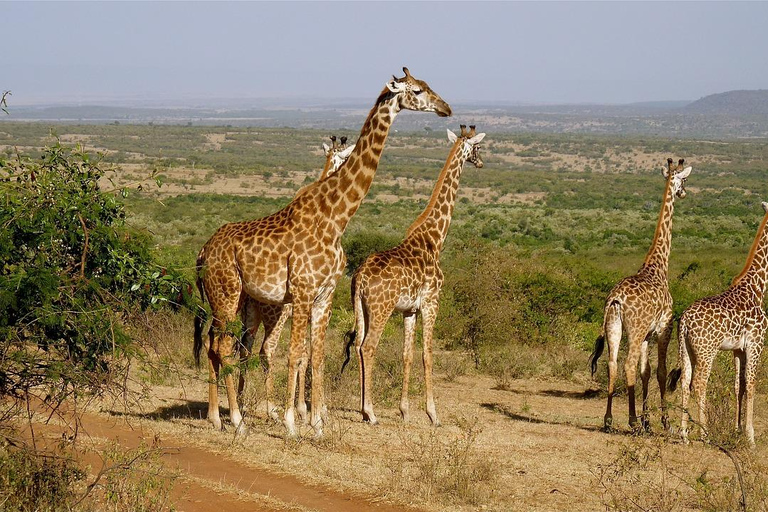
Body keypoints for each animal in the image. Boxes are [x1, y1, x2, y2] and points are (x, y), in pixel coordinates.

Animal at [237, 134, 356, 422]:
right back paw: (271, 409)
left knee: (244, 348)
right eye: (345, 157)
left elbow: (304, 352)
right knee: (266, 350)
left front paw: (307, 408)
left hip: (250, 311)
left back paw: (242, 403)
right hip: (276, 312)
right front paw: (309, 409)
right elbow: (305, 353)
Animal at [340, 123, 484, 424]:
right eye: (478, 147)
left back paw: (364, 411)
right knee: (368, 347)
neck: (435, 238)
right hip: (381, 308)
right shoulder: (431, 301)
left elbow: (407, 354)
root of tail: (359, 279)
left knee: (357, 344)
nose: (481, 162)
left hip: (361, 307)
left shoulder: (409, 310)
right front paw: (433, 414)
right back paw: (370, 412)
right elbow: (427, 354)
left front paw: (405, 411)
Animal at [592, 158, 692, 430]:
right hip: (634, 331)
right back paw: (631, 420)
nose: (684, 193)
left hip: (614, 327)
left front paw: (648, 420)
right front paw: (663, 421)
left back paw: (608, 419)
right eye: (684, 180)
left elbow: (645, 372)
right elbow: (659, 371)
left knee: (612, 363)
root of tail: (615, 299)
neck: (659, 265)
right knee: (627, 364)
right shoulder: (664, 329)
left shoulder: (648, 335)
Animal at [664, 200, 768, 444]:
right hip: (706, 351)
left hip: (685, 349)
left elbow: (739, 385)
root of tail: (684, 321)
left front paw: (737, 430)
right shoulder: (756, 342)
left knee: (685, 382)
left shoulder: (739, 349)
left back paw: (684, 434)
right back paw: (704, 432)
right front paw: (750, 437)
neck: (758, 288)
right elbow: (751, 385)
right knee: (699, 383)